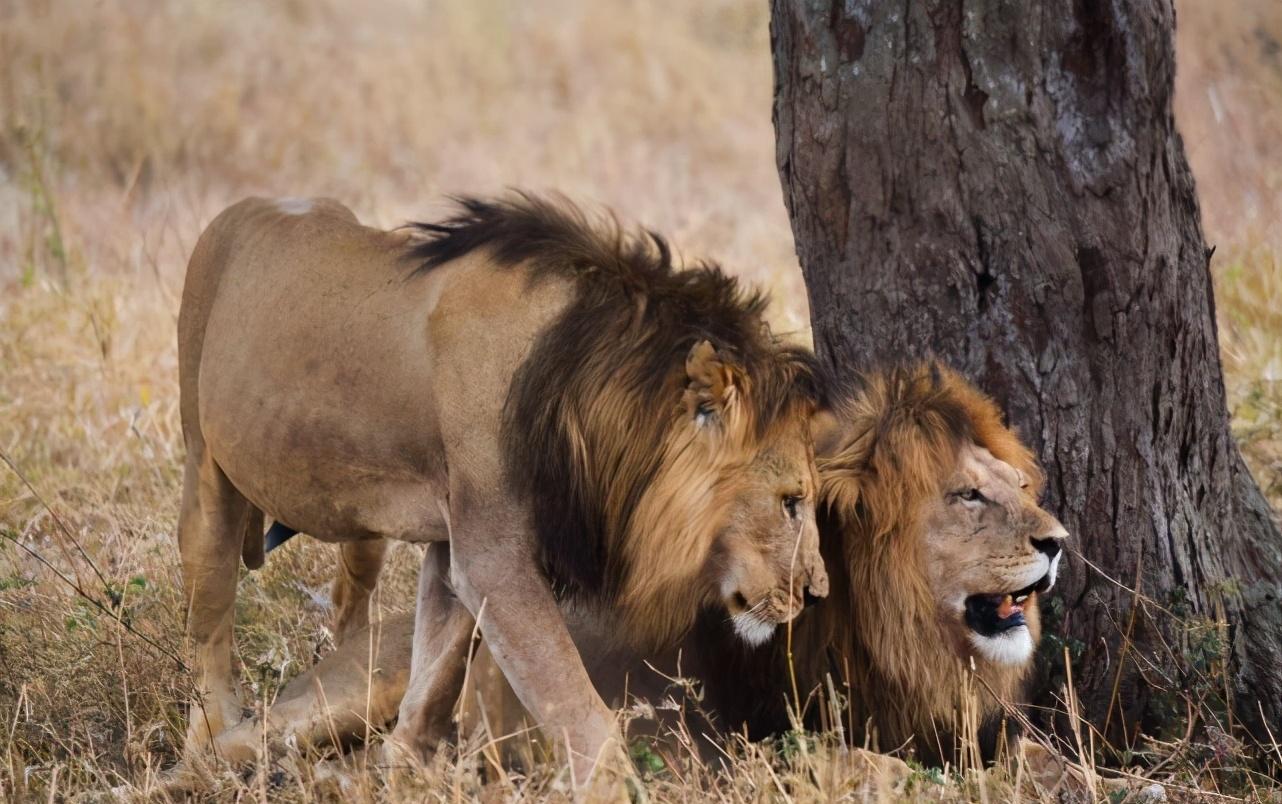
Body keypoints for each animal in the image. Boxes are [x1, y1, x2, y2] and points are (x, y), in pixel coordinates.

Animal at [175, 192, 825, 784]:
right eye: (791, 501)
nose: (816, 593)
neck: (588, 390)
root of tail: (247, 205)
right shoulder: (493, 556)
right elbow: (576, 707)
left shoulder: (452, 546)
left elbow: (435, 669)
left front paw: (401, 769)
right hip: (205, 469)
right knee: (209, 625)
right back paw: (202, 747)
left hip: (361, 533)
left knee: (348, 598)